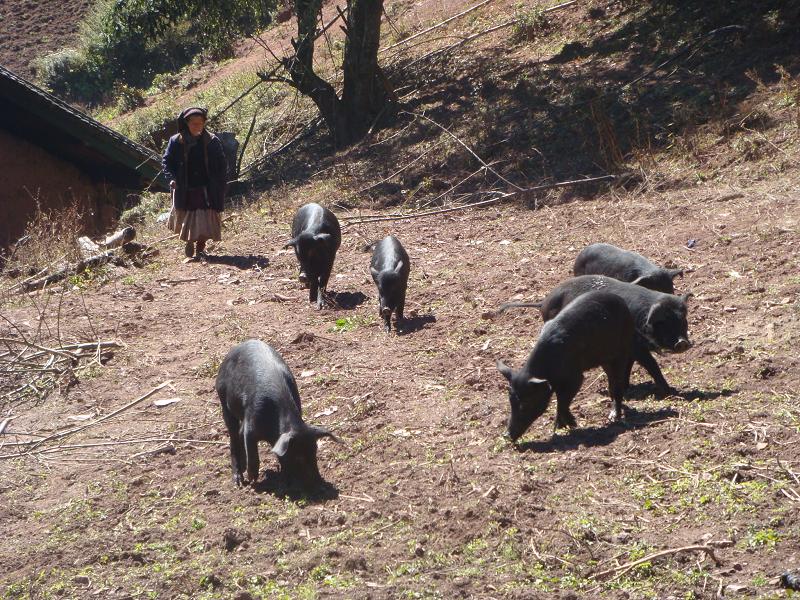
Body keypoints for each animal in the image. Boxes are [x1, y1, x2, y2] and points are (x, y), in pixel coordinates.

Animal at [214, 340, 336, 490]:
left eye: (315, 452)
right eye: (298, 457)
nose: (320, 485)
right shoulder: (251, 424)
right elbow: (252, 453)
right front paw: (253, 481)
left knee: (239, 432)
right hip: (224, 400)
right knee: (234, 437)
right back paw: (238, 481)